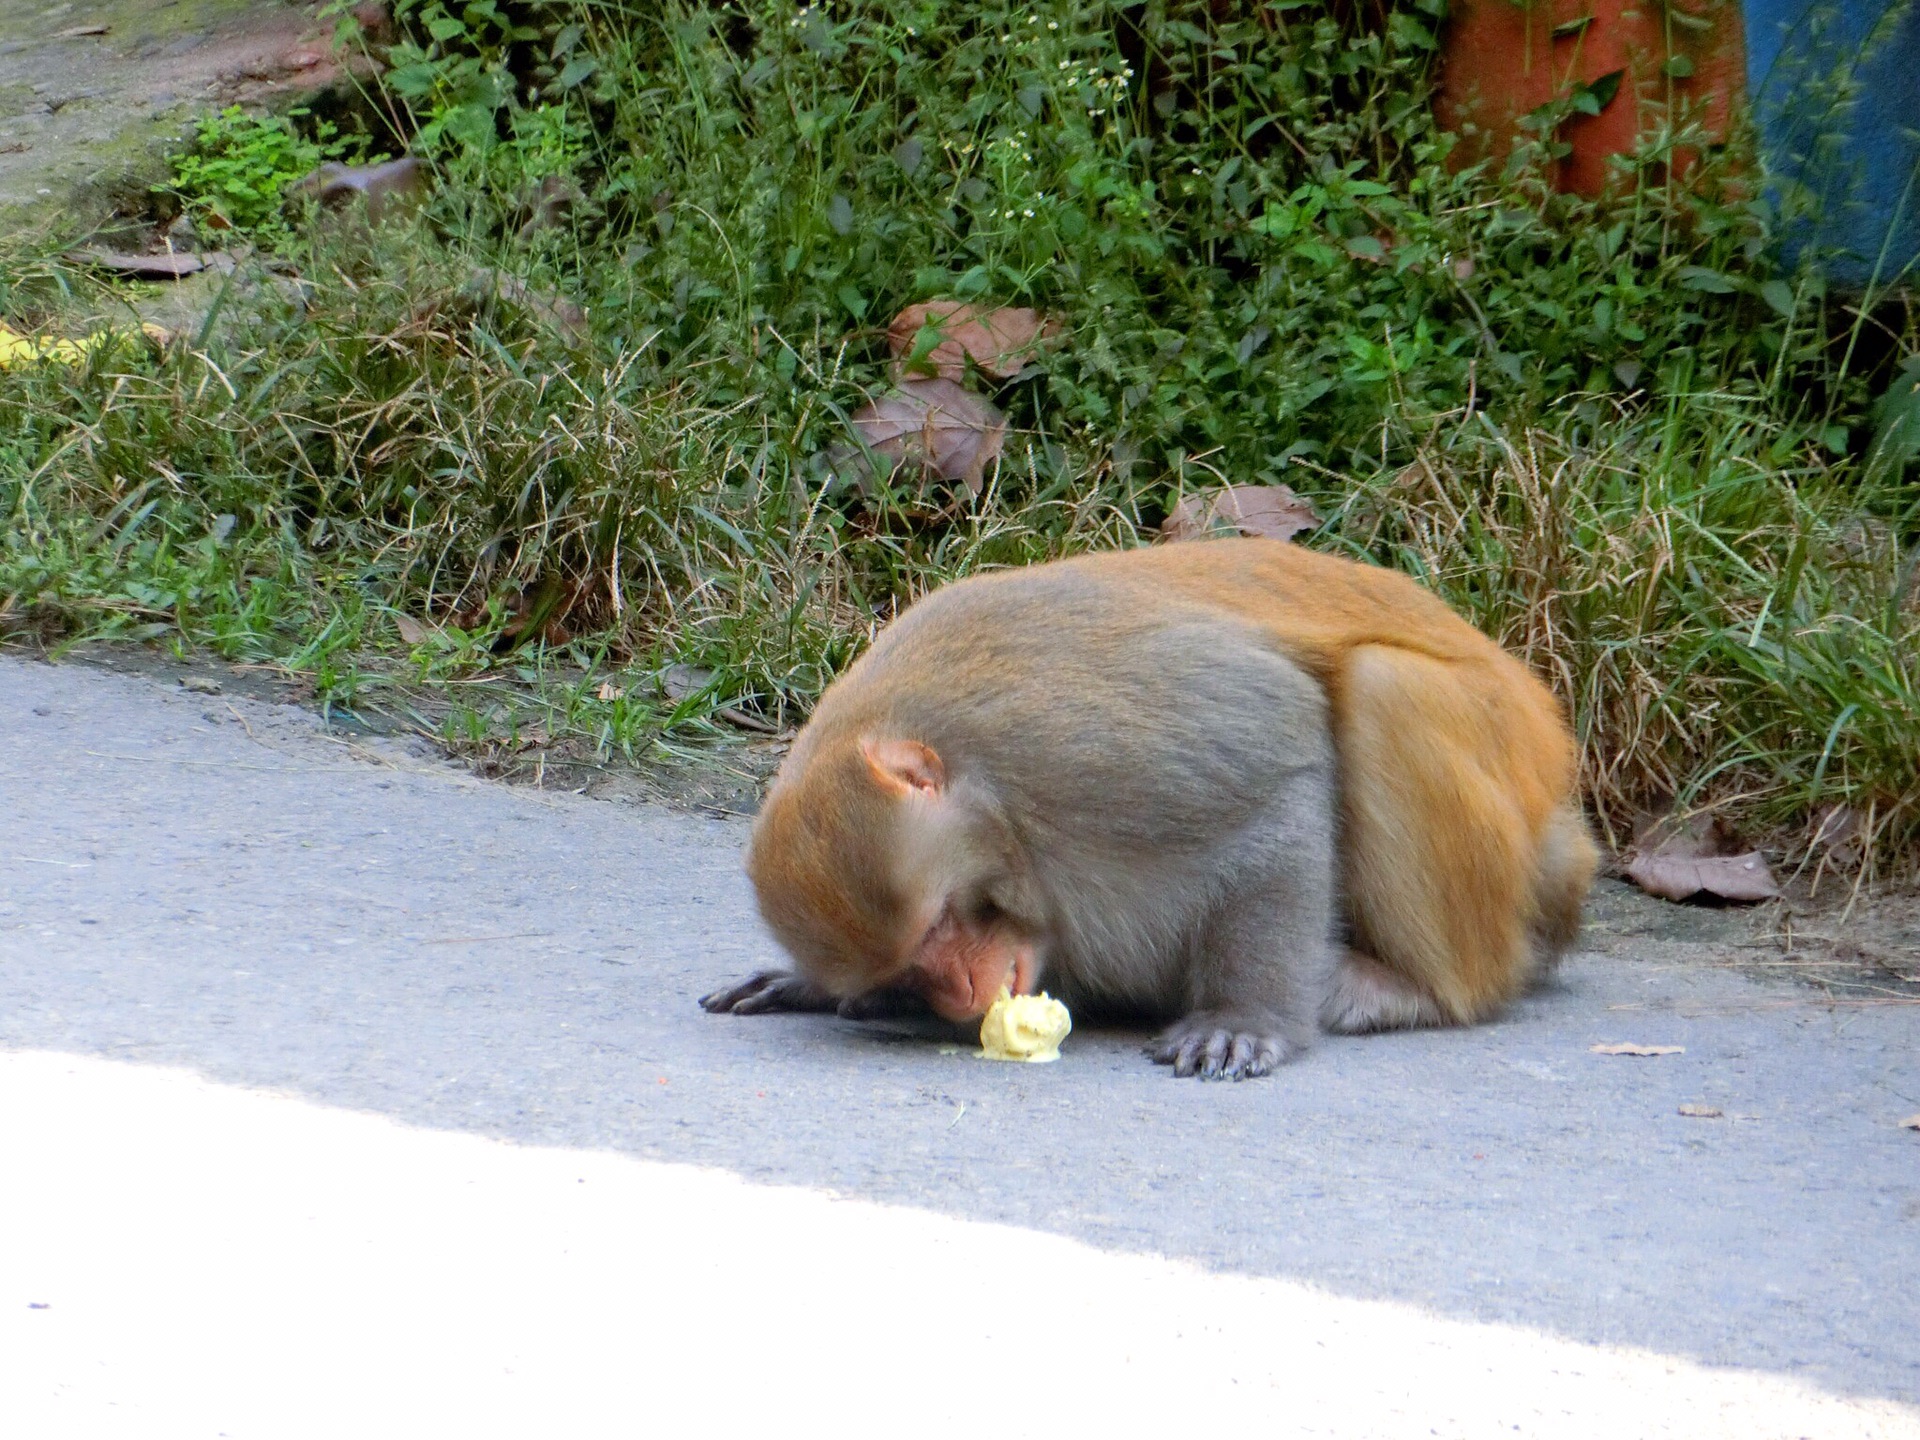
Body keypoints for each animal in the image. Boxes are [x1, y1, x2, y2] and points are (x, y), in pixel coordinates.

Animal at [698, 541, 1597, 1082]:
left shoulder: (1082, 750)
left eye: (941, 925)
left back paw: (1414, 990)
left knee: (1384, 688)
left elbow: (1277, 767)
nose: (957, 990)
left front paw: (1245, 1019)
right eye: (913, 965)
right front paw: (822, 989)